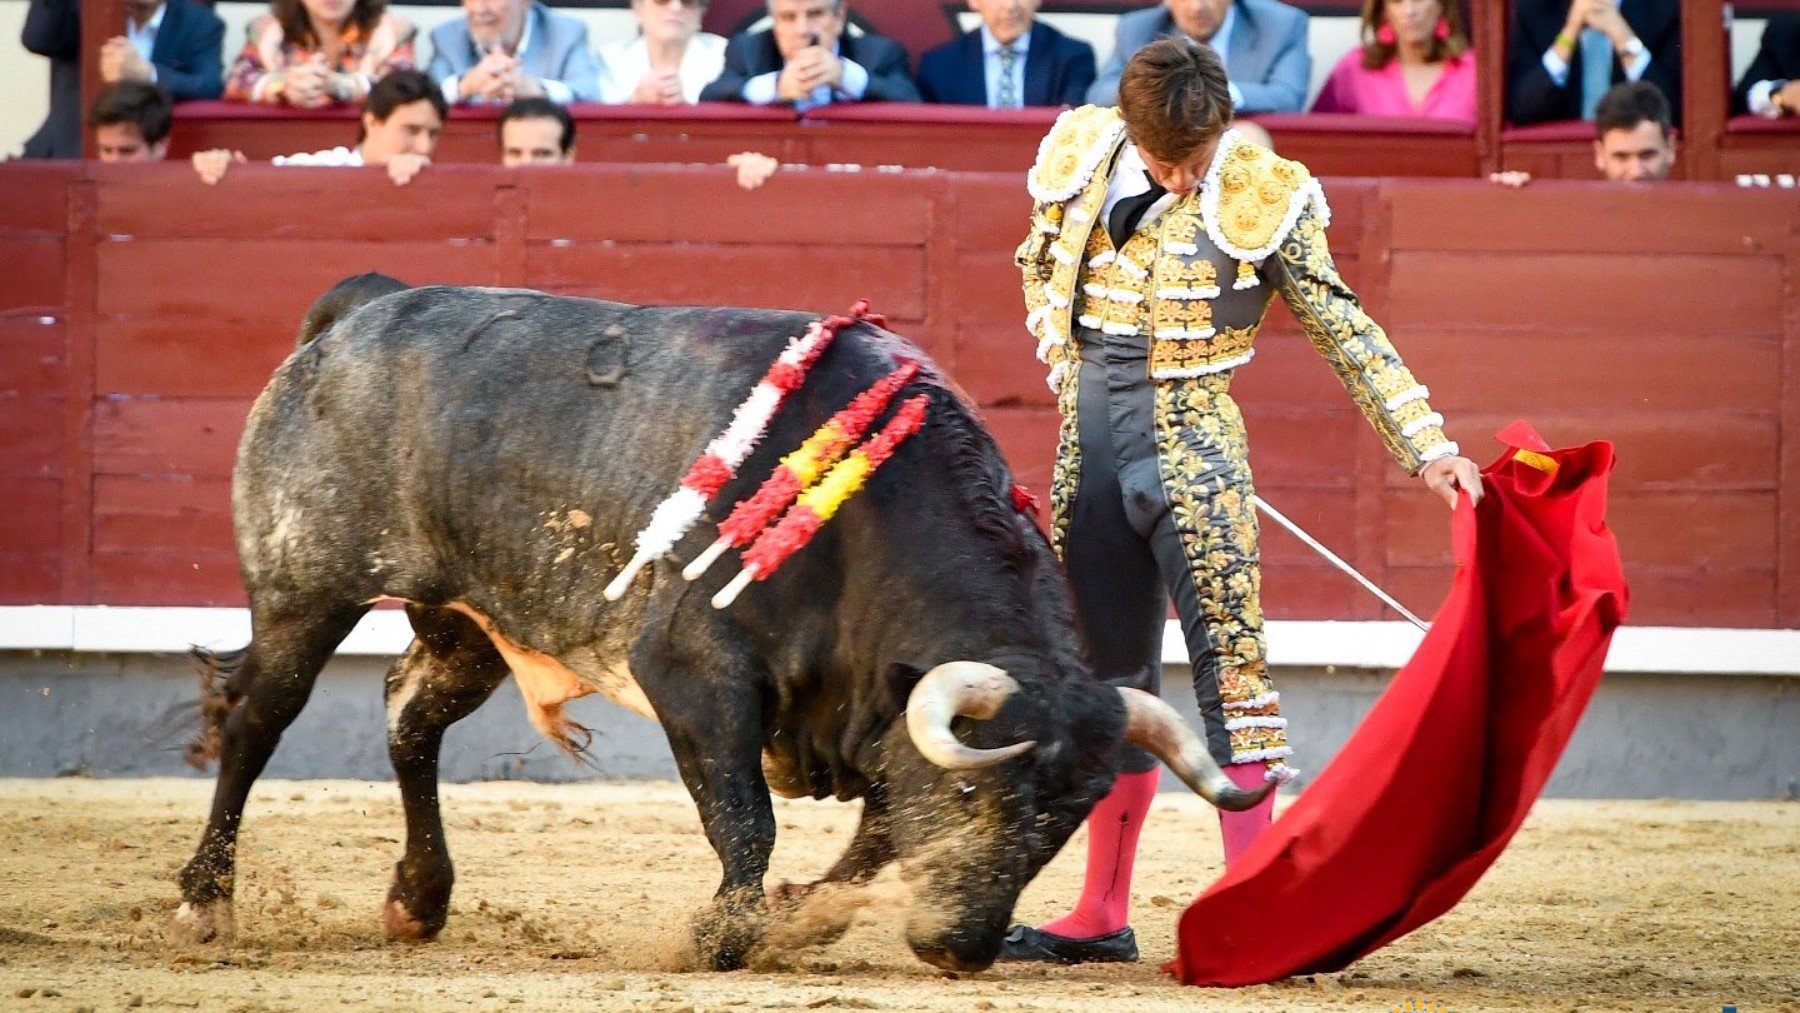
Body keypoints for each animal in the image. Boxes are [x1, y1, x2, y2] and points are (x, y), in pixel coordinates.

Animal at [169, 277, 1267, 971]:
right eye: (973, 792)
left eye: (1069, 817)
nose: (962, 947)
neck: (867, 521)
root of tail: (356, 314)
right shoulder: (693, 675)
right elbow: (746, 817)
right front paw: (724, 934)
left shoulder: (878, 725)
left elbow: (868, 843)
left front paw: (797, 921)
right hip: (306, 590)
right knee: (259, 716)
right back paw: (205, 900)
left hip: (472, 619)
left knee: (410, 715)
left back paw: (418, 898)